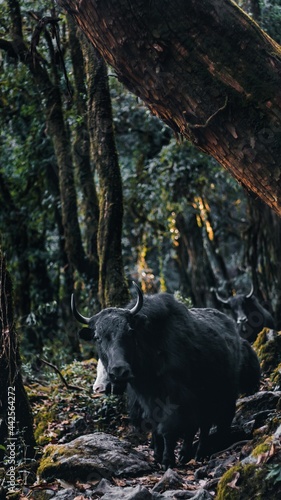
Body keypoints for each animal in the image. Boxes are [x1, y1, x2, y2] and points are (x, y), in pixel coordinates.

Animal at [71, 286, 258, 468]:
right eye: (97, 337)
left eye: (130, 331)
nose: (119, 370)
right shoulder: (147, 400)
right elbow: (155, 428)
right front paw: (157, 456)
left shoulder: (175, 397)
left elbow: (168, 428)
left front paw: (167, 460)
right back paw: (186, 454)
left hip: (222, 393)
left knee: (211, 422)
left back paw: (201, 453)